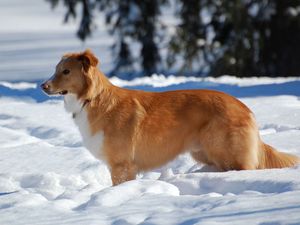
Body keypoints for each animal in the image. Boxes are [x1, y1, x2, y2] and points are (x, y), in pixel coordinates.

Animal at [41, 49, 300, 185]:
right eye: (55, 70)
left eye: (66, 72)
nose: (43, 86)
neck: (91, 99)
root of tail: (244, 107)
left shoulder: (122, 165)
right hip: (204, 153)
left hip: (226, 153)